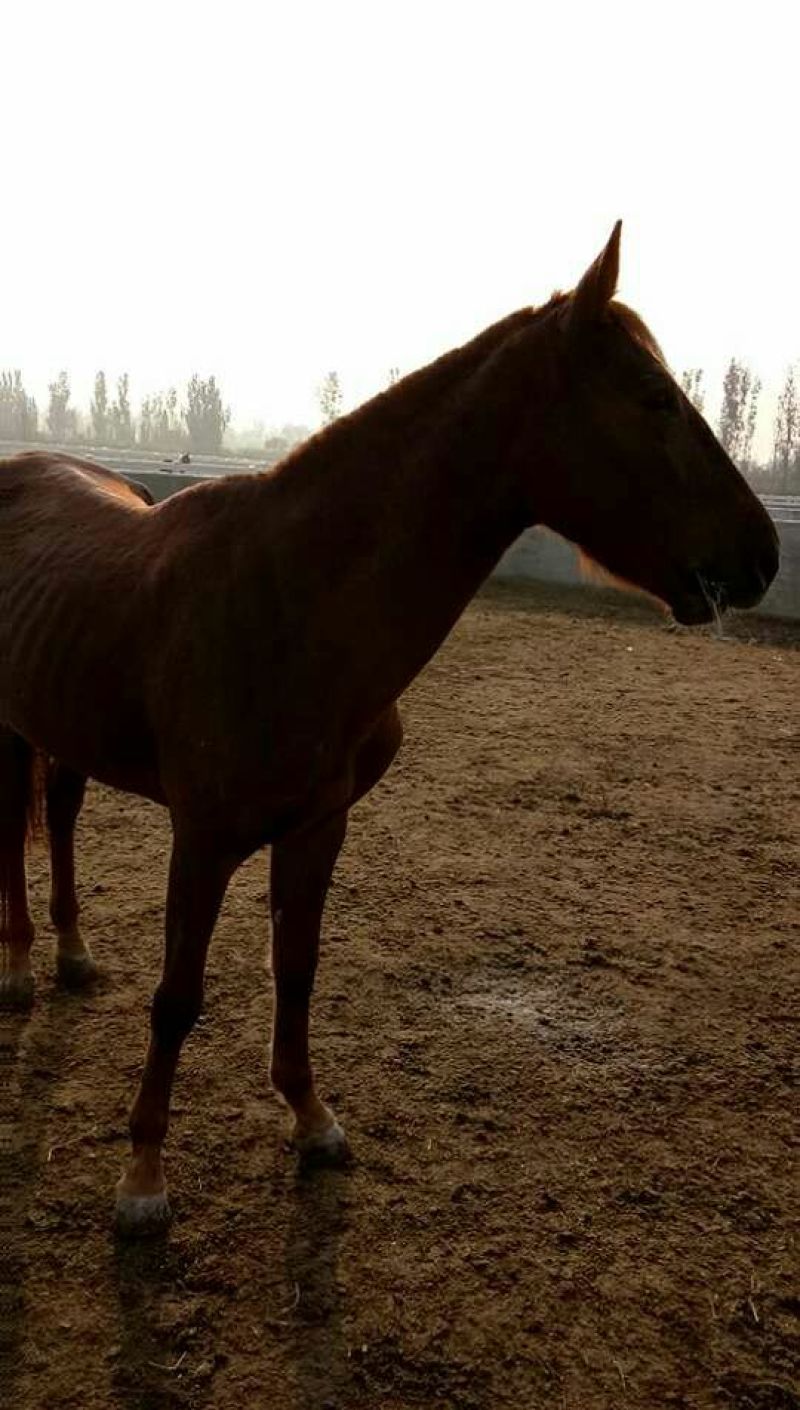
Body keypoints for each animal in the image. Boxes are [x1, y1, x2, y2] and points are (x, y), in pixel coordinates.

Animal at [0, 224, 779, 1235]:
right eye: (653, 398)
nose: (763, 555)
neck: (289, 601)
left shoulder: (318, 825)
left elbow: (296, 969)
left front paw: (310, 1118)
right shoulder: (202, 840)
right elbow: (176, 998)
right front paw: (142, 1177)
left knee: (57, 815)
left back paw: (72, 954)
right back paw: (20, 967)